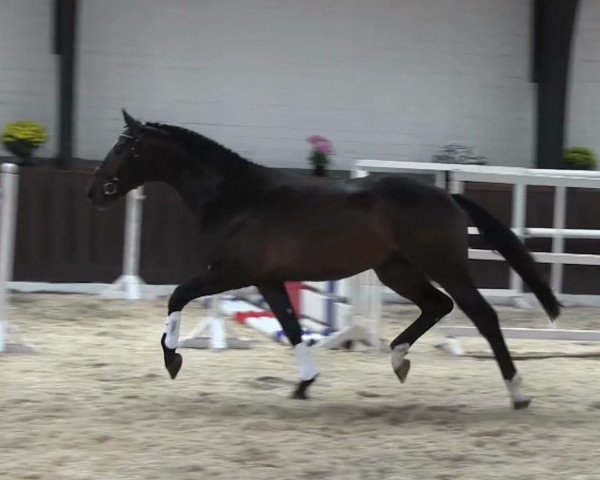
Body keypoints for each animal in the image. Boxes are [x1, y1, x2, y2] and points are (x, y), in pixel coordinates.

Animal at [86, 110, 560, 410]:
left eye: (124, 148)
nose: (94, 192)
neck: (236, 197)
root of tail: (448, 196)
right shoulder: (268, 280)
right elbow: (293, 328)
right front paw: (304, 384)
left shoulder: (230, 273)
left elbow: (177, 297)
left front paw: (173, 360)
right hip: (397, 270)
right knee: (437, 305)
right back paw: (398, 359)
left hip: (444, 266)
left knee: (481, 315)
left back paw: (518, 393)